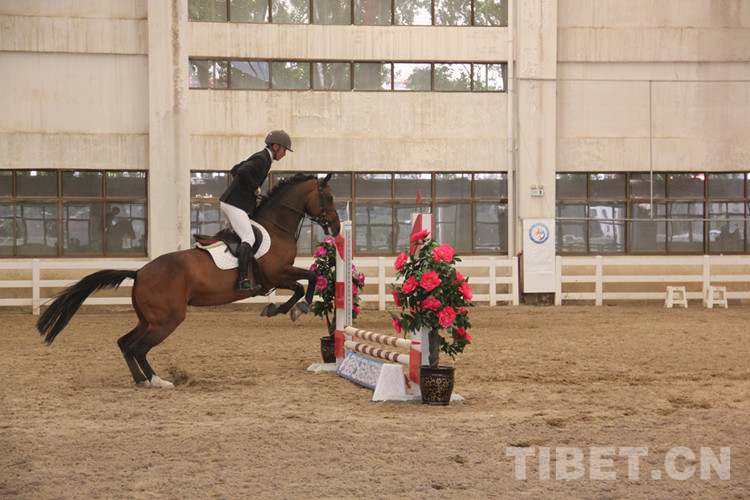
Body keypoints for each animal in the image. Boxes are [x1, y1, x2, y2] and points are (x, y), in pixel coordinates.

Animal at [37, 173, 340, 388]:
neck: (276, 228)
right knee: (138, 347)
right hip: (168, 319)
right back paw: (158, 381)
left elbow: (299, 285)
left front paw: (280, 309)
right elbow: (310, 278)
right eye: (328, 196)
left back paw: (141, 380)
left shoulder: (276, 278)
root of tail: (140, 273)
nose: (336, 227)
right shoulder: (278, 272)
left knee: (125, 343)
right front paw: (298, 308)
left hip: (150, 319)